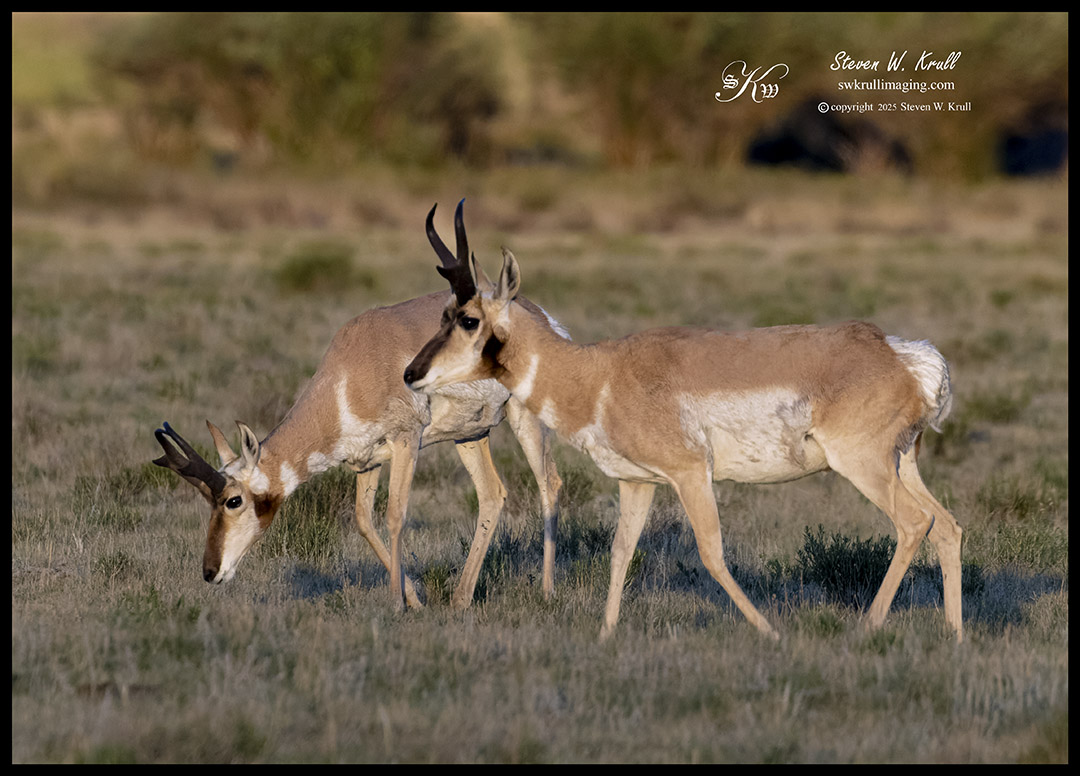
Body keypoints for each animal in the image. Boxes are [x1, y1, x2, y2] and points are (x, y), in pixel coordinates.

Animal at [153, 201, 565, 610]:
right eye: (207, 499)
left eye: (233, 500)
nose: (209, 572)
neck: (350, 371)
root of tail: (538, 314)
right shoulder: (365, 462)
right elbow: (364, 521)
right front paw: (414, 598)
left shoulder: (406, 440)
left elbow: (396, 514)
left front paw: (397, 603)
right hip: (470, 434)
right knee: (493, 495)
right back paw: (461, 599)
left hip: (523, 417)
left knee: (549, 483)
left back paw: (547, 592)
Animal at [403, 241, 964, 643]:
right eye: (443, 315)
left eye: (469, 320)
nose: (410, 374)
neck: (600, 373)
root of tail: (901, 354)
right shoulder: (638, 483)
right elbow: (621, 551)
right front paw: (605, 636)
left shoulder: (691, 474)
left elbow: (711, 553)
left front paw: (770, 633)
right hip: (901, 464)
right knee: (947, 526)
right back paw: (954, 636)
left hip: (864, 466)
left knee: (914, 522)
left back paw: (867, 628)